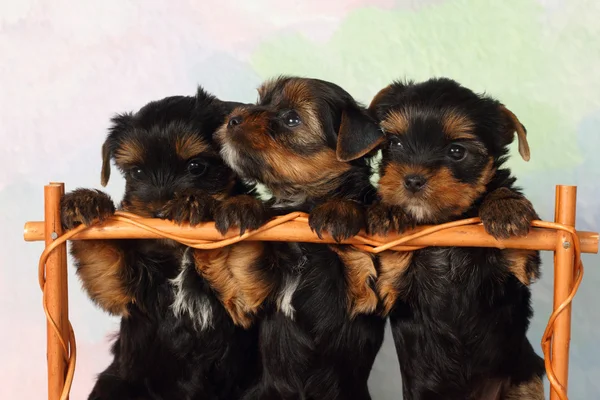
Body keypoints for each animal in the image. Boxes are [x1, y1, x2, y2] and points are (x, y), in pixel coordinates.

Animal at [59, 88, 262, 400]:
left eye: (196, 167)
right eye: (138, 173)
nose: (159, 212)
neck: (177, 252)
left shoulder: (241, 301)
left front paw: (233, 208)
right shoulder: (120, 289)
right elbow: (101, 262)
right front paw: (85, 203)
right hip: (117, 381)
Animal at [213, 76, 386, 400]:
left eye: (291, 119)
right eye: (261, 102)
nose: (233, 119)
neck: (302, 202)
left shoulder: (365, 295)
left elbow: (357, 258)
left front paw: (339, 211)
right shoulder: (253, 289)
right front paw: (243, 206)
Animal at [340, 76, 548, 398]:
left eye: (456, 152)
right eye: (395, 144)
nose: (412, 180)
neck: (443, 222)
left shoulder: (520, 268)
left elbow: (509, 223)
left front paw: (505, 206)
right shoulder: (387, 285)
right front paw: (389, 210)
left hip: (524, 379)